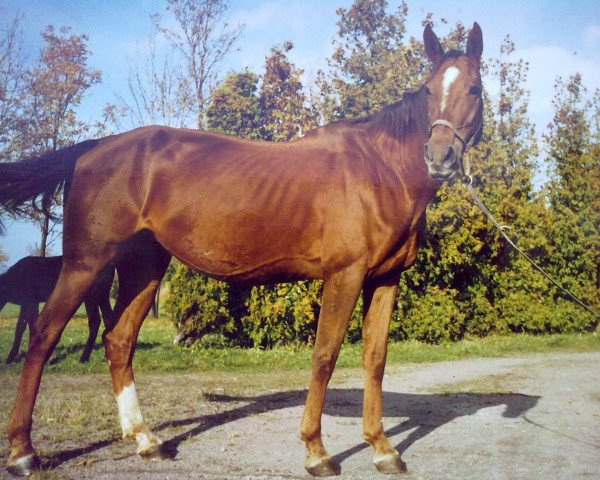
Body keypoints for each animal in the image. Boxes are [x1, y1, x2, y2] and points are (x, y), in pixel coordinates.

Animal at [0, 25, 482, 476]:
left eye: (474, 89)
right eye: (429, 91)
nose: (439, 156)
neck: (379, 171)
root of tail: (93, 149)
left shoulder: (385, 279)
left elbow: (375, 358)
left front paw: (383, 449)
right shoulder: (344, 275)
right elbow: (325, 356)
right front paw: (317, 452)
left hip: (144, 268)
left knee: (118, 340)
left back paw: (146, 441)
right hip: (85, 263)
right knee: (43, 336)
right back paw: (23, 453)